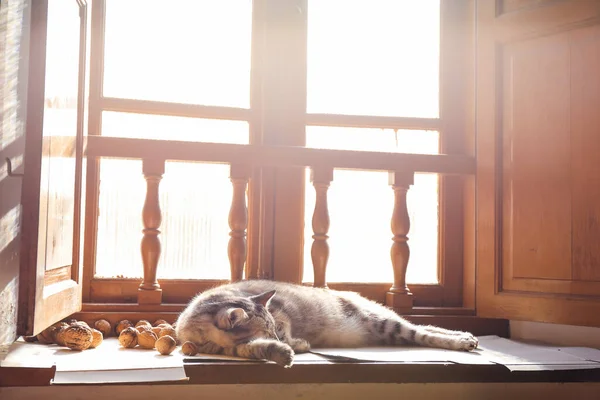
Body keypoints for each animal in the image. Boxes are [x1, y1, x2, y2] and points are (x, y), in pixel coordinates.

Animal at [173, 280, 478, 368]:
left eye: (276, 329)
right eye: (268, 332)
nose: (279, 338)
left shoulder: (283, 317)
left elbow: (290, 336)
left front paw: (296, 344)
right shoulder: (234, 348)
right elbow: (257, 348)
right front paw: (281, 352)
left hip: (385, 324)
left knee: (425, 333)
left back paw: (463, 340)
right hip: (390, 331)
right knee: (428, 328)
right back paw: (466, 336)